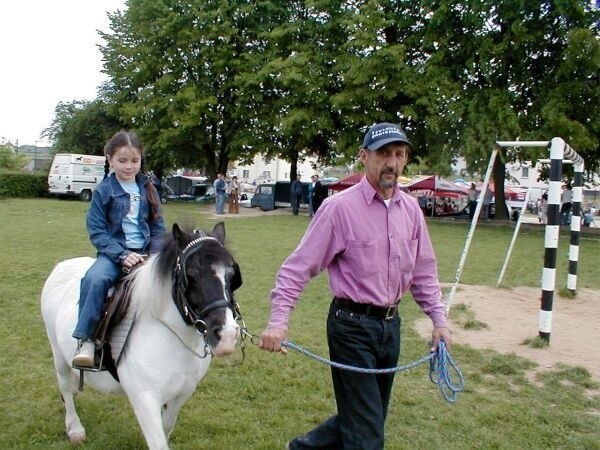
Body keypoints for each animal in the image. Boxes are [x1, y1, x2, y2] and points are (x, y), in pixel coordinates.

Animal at [40, 223, 244, 448]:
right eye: (191, 276)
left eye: (232, 276)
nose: (226, 335)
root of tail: (63, 265)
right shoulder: (145, 400)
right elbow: (159, 442)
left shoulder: (182, 393)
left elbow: (167, 425)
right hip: (58, 353)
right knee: (66, 388)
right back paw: (75, 428)